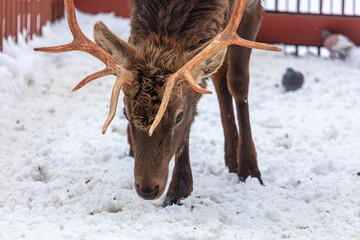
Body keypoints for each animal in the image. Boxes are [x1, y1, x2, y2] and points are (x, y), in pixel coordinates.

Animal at [34, 0, 282, 206]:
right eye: (125, 113)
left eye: (179, 116)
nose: (147, 189)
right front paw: (180, 189)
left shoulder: (251, 9)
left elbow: (238, 82)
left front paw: (250, 170)